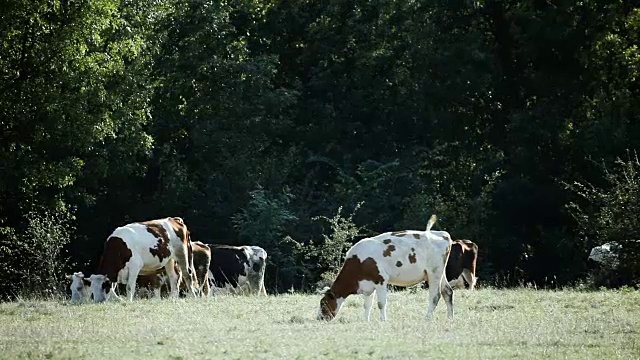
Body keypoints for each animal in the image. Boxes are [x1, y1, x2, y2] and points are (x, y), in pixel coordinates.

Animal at [318, 215, 452, 322]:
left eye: (323, 304)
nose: (319, 318)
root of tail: (443, 234)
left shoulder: (380, 280)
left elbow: (381, 303)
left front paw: (383, 320)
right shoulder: (367, 284)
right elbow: (367, 304)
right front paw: (365, 320)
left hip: (434, 273)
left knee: (435, 295)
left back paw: (427, 318)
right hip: (439, 273)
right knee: (448, 291)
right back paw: (450, 318)